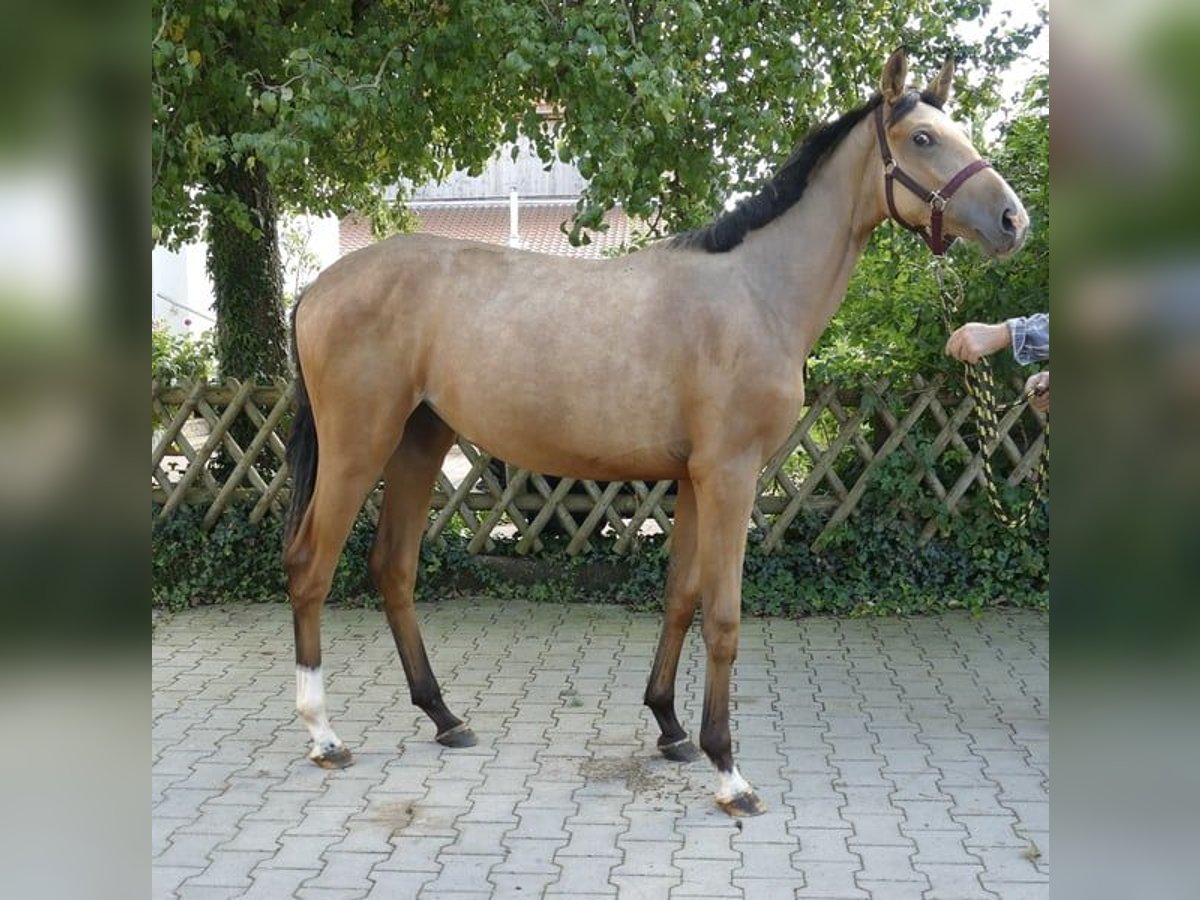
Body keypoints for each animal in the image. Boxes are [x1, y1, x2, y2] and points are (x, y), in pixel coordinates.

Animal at [280, 52, 1022, 820]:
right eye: (923, 139)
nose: (1012, 220)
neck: (755, 292)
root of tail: (317, 289)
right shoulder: (730, 477)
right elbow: (723, 618)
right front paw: (729, 770)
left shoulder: (695, 480)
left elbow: (680, 598)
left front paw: (671, 727)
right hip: (357, 447)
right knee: (311, 566)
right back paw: (324, 734)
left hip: (420, 442)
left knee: (392, 567)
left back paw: (444, 717)